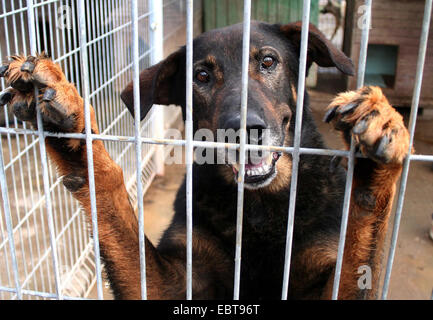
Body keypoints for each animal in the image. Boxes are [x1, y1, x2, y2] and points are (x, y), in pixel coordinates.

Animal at [0, 20, 408, 300]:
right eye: (201, 75)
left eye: (268, 61)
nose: (243, 133)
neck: (257, 207)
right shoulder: (170, 282)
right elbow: (114, 207)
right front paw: (71, 122)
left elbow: (361, 243)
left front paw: (379, 143)